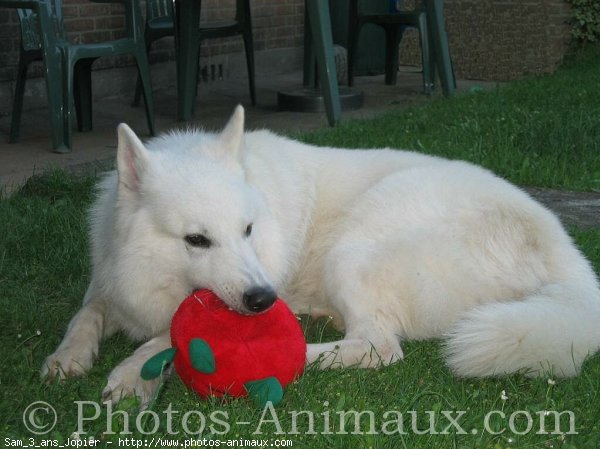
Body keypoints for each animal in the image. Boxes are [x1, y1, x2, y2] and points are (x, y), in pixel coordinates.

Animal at [42, 106, 600, 406]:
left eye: (247, 230)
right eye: (197, 240)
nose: (264, 299)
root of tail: (560, 245)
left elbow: (171, 338)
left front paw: (134, 375)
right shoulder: (107, 283)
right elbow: (85, 314)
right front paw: (67, 357)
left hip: (353, 248)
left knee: (378, 347)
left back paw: (287, 356)